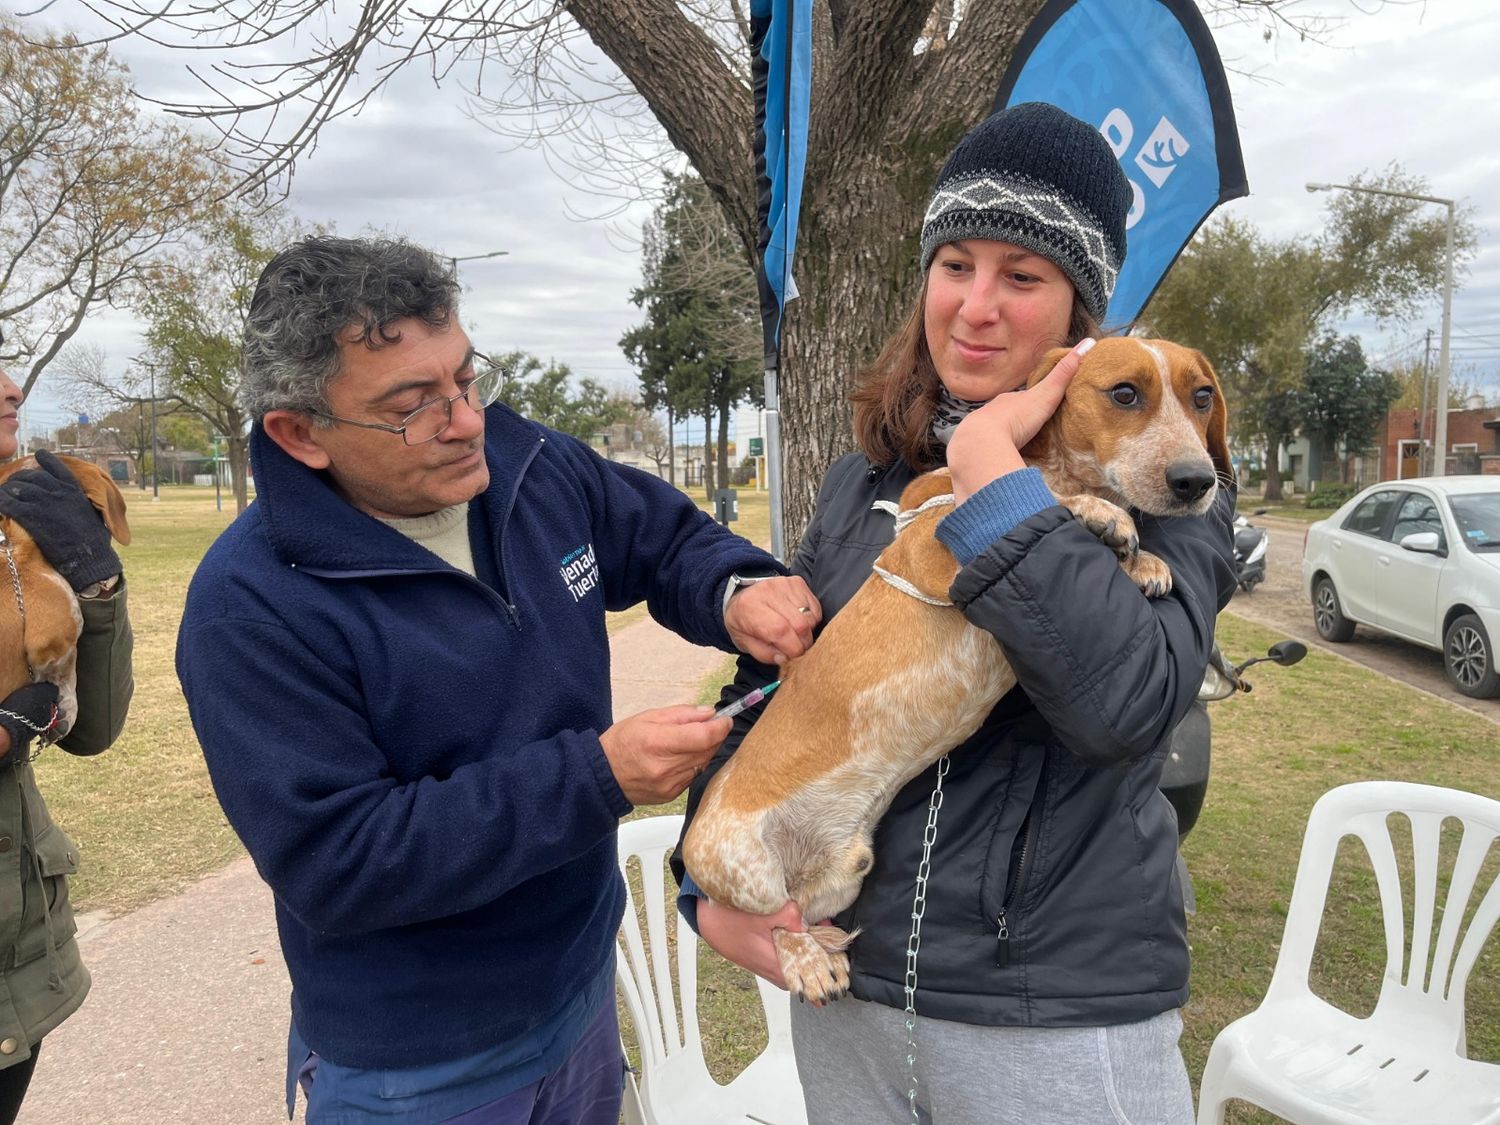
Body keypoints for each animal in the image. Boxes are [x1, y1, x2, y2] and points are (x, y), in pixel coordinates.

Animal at [687, 337, 1236, 1002]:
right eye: (1124, 392)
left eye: (1202, 396)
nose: (1197, 481)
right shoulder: (935, 548)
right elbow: (1041, 501)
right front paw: (1101, 517)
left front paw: (1143, 559)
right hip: (737, 863)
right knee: (772, 921)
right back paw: (808, 962)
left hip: (845, 875)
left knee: (798, 912)